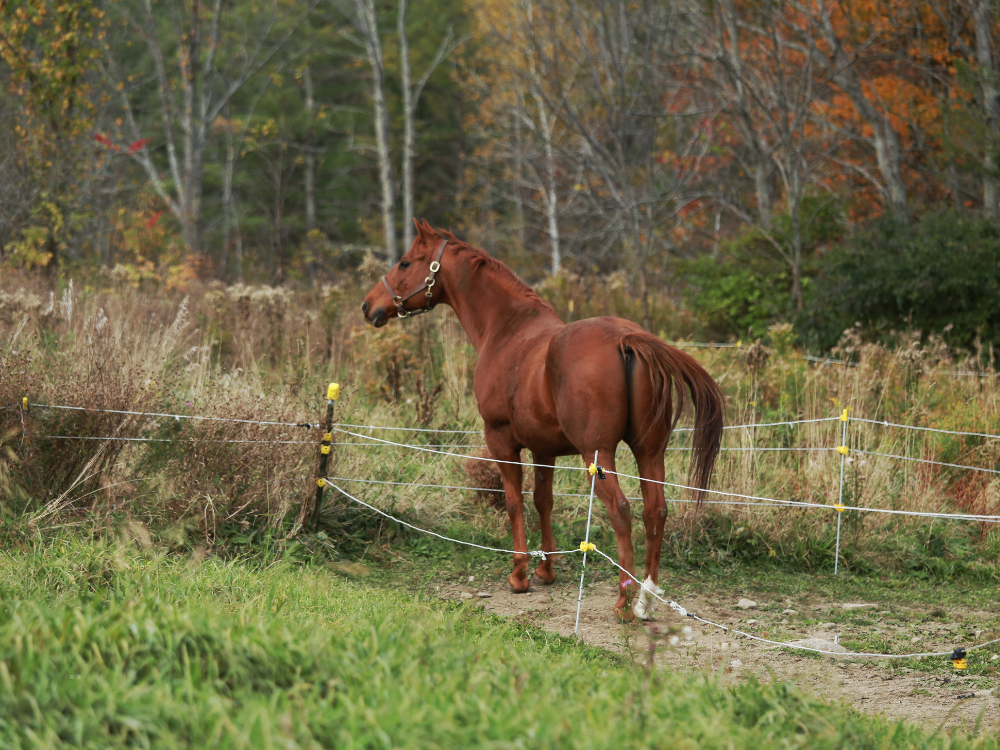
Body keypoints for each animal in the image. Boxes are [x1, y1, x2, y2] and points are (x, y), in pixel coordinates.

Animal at [362, 220, 725, 619]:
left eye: (405, 262)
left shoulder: (501, 440)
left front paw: (519, 574)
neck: (507, 331)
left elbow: (514, 501)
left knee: (621, 510)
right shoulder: (544, 448)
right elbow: (543, 500)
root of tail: (626, 338)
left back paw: (623, 602)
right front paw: (546, 569)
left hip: (599, 455)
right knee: (655, 511)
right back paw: (645, 599)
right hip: (649, 452)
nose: (369, 306)